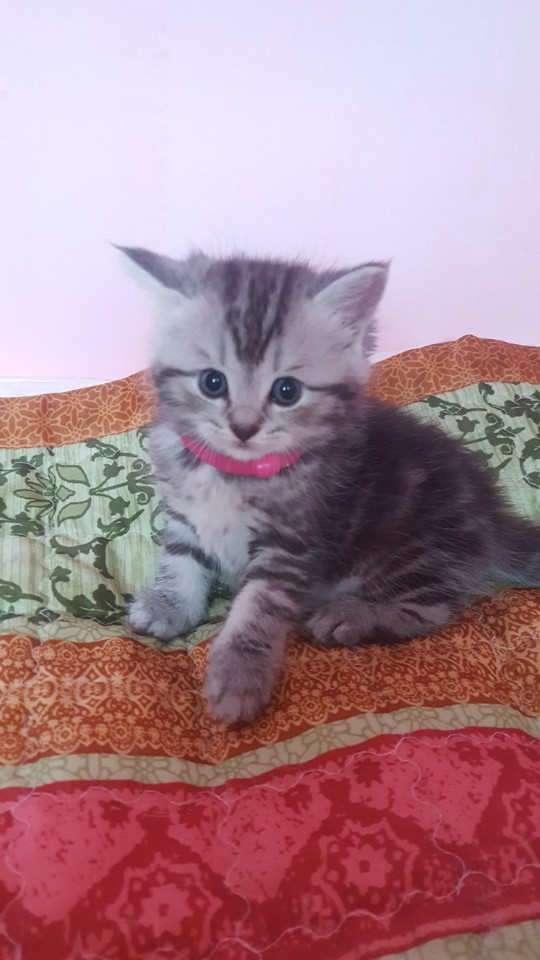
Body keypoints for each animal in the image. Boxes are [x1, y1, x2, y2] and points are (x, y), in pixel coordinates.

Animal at [120, 246, 540, 724]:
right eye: (213, 382)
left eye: (286, 391)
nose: (243, 428)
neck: (233, 473)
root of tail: (491, 513)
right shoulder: (185, 515)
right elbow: (182, 561)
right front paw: (171, 607)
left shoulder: (289, 541)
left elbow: (256, 609)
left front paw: (239, 676)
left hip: (409, 547)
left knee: (429, 609)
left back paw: (350, 616)